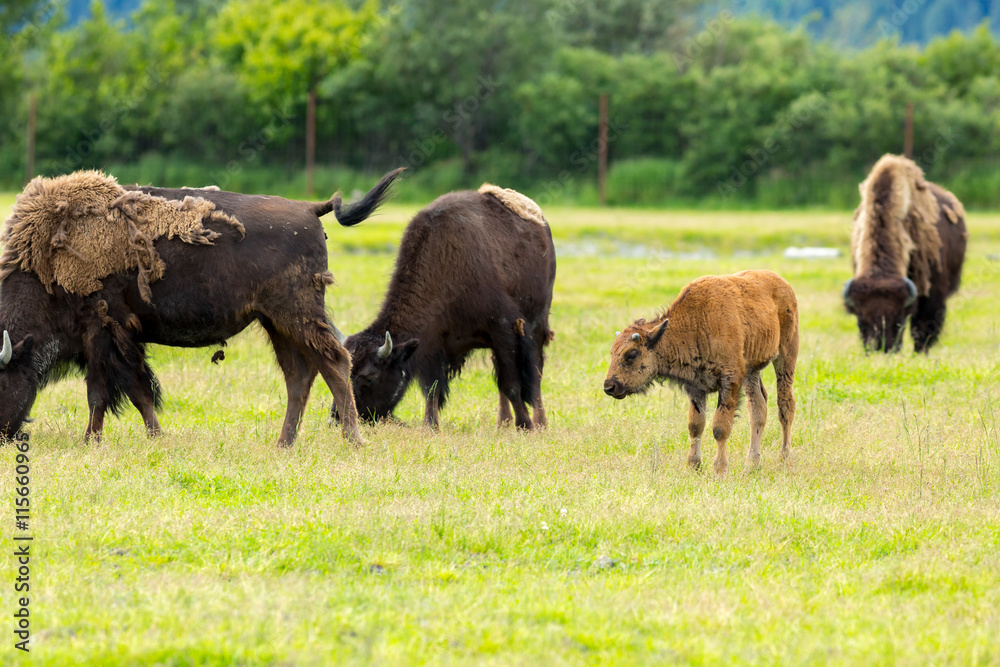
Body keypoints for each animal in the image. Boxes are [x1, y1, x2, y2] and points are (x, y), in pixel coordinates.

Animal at [3, 170, 404, 446]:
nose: (5, 436)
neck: (45, 264)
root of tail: (310, 208)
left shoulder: (101, 332)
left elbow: (101, 393)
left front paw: (91, 442)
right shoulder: (120, 340)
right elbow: (137, 391)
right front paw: (156, 438)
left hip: (297, 314)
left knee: (333, 362)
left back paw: (352, 440)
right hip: (276, 323)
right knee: (300, 375)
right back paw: (283, 444)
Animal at [342, 185, 556, 430]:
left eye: (369, 376)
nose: (337, 416)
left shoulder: (504, 329)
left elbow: (512, 384)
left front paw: (525, 426)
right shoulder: (433, 343)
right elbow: (432, 389)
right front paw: (430, 425)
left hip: (537, 325)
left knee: (535, 373)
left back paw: (539, 422)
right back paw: (503, 422)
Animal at [600, 268, 796, 478]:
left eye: (632, 354)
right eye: (612, 352)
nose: (609, 387)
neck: (694, 323)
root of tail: (782, 283)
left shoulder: (730, 381)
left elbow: (720, 427)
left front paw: (719, 470)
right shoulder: (695, 388)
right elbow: (695, 426)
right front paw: (693, 466)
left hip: (786, 356)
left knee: (785, 406)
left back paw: (785, 459)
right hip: (751, 371)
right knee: (758, 408)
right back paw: (751, 465)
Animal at [844, 155, 968, 354]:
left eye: (898, 322)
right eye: (861, 322)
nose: (881, 348)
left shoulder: (932, 292)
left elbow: (924, 325)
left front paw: (920, 352)